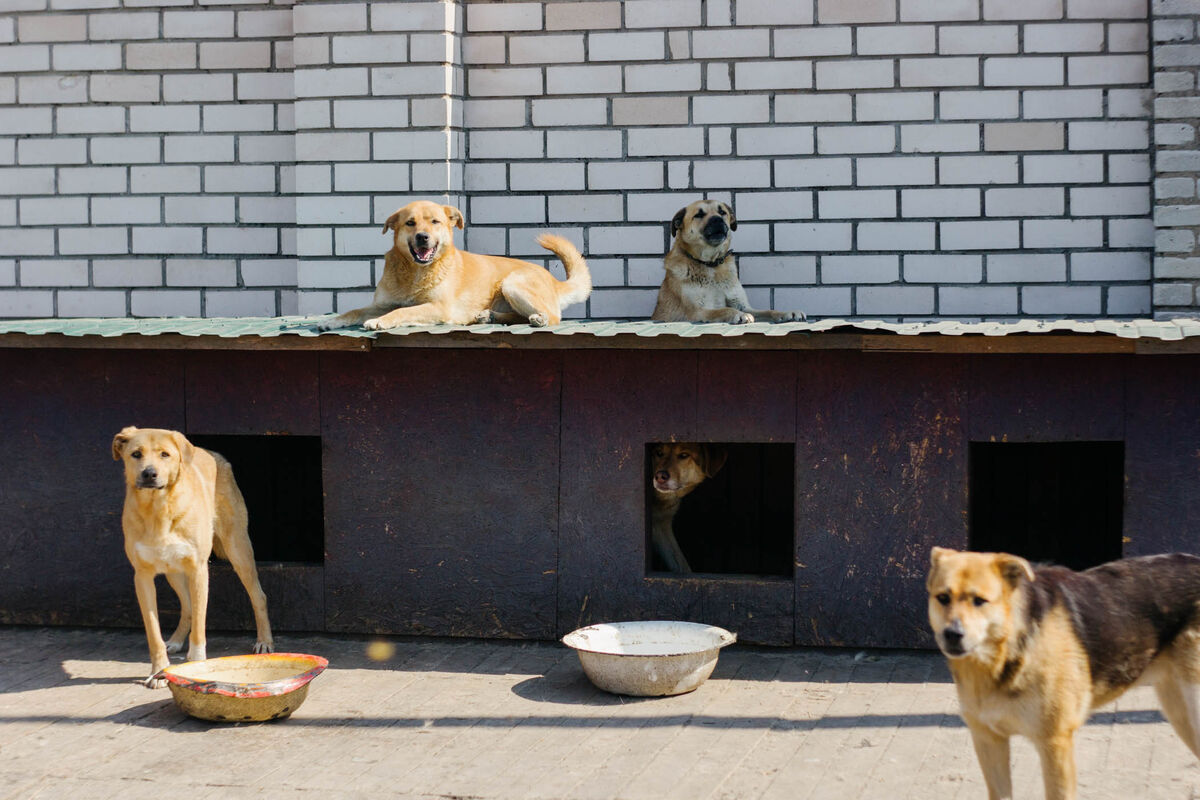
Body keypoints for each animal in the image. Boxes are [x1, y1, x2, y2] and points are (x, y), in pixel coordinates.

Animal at [112, 424, 272, 690]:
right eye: (136, 454)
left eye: (165, 454)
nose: (149, 474)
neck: (158, 510)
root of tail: (213, 453)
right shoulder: (143, 577)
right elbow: (153, 633)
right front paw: (159, 671)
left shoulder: (198, 570)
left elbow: (199, 626)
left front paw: (198, 665)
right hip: (173, 571)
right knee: (186, 606)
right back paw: (176, 640)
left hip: (237, 549)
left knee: (258, 595)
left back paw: (265, 641)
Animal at [316, 201, 592, 331]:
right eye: (410, 223)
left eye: (435, 222)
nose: (422, 237)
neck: (415, 273)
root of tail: (554, 281)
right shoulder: (381, 305)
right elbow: (354, 311)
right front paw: (333, 321)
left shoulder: (438, 307)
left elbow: (403, 311)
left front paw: (381, 322)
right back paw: (489, 316)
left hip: (512, 283)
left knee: (553, 317)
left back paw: (538, 318)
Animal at [652, 199, 801, 323]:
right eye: (699, 214)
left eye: (722, 212)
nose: (717, 220)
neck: (712, 264)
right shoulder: (697, 311)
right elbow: (723, 309)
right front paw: (738, 314)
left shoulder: (742, 304)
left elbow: (768, 310)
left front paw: (786, 313)